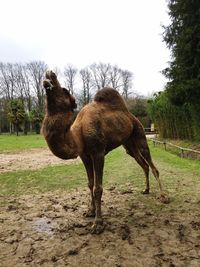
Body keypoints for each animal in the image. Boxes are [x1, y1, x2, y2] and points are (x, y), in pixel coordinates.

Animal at [42, 71, 169, 234]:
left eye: (64, 90)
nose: (50, 74)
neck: (78, 135)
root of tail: (132, 116)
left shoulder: (98, 153)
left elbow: (98, 187)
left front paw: (98, 223)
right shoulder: (85, 156)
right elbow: (90, 184)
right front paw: (90, 211)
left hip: (139, 135)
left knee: (152, 165)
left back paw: (164, 197)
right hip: (129, 145)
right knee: (143, 164)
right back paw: (146, 190)